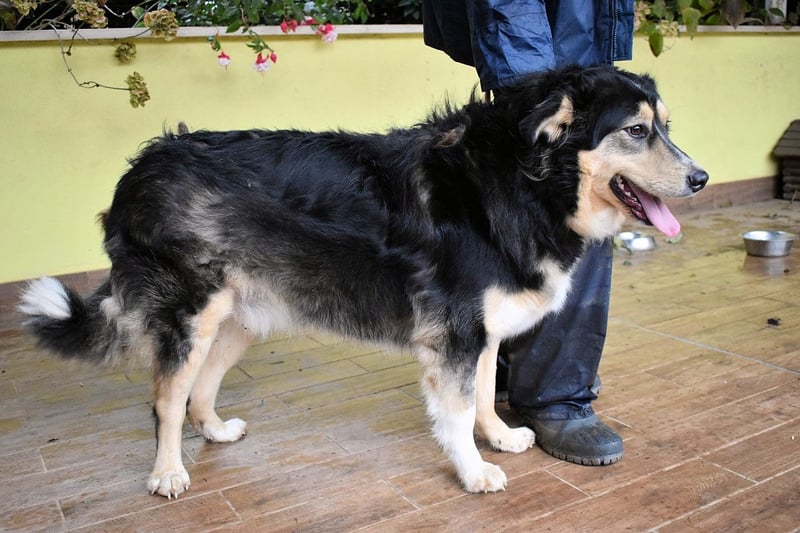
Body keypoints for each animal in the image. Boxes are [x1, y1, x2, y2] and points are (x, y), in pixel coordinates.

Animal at [19, 65, 707, 498]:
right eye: (636, 131)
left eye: (666, 126)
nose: (701, 177)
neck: (521, 179)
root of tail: (139, 168)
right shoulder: (454, 334)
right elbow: (457, 410)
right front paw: (473, 472)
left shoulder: (482, 332)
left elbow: (485, 395)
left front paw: (499, 437)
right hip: (191, 314)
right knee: (165, 399)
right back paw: (166, 475)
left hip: (240, 316)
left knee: (199, 390)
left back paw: (214, 430)